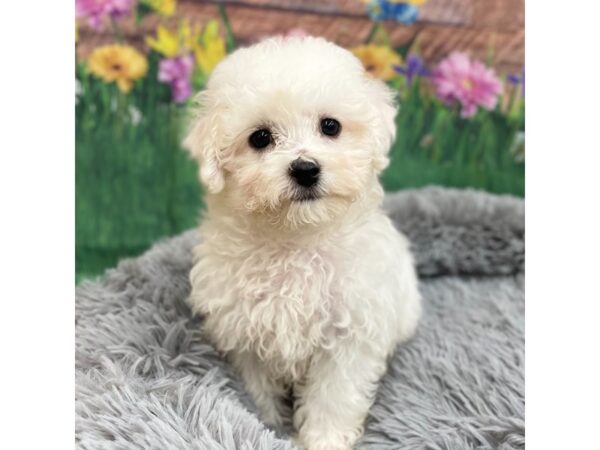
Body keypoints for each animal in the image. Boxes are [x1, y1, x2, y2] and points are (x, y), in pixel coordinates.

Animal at [184, 36, 422, 450]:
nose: (306, 169)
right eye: (260, 138)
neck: (296, 241)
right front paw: (267, 427)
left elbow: (332, 397)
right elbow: (259, 391)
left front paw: (323, 440)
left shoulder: (348, 336)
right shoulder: (245, 338)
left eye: (330, 126)